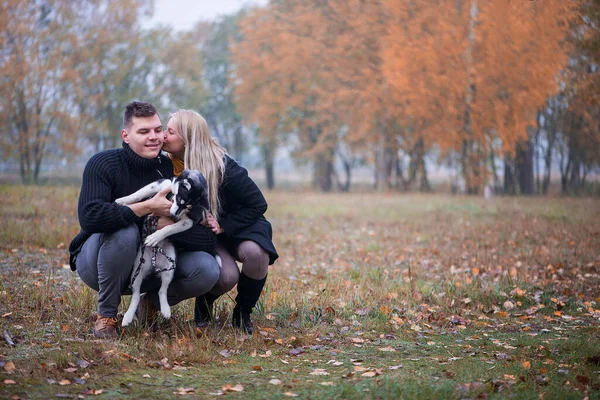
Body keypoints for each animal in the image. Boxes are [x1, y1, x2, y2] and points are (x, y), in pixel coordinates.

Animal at [116, 170, 211, 328]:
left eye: (187, 206)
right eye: (179, 198)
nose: (173, 216)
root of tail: (153, 265)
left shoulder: (189, 220)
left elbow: (170, 228)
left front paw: (155, 236)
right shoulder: (160, 185)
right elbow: (138, 194)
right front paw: (122, 201)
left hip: (169, 268)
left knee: (162, 291)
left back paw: (165, 310)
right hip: (137, 269)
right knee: (136, 295)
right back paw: (128, 316)